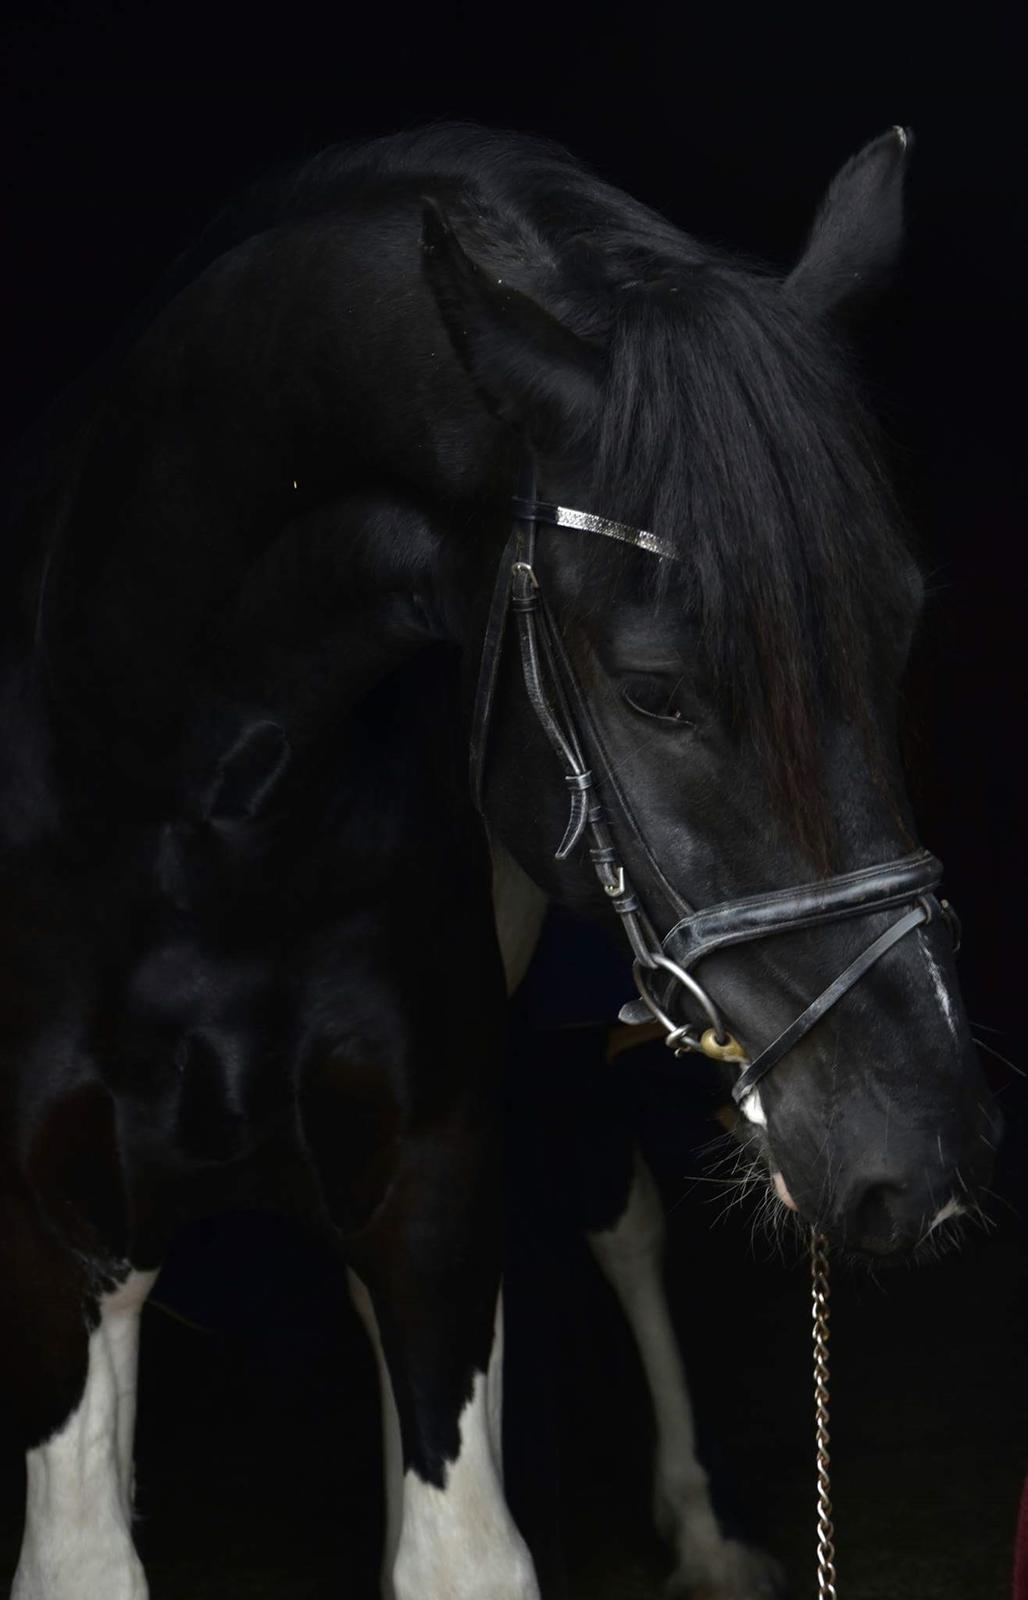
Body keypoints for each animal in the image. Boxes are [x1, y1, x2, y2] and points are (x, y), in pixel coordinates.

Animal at [0, 122, 998, 1600]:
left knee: (616, 1218)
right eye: (652, 692)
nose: (921, 1152)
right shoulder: (49, 1208)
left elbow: (463, 1552)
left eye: (900, 630)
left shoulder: (431, 1166)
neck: (184, 785)